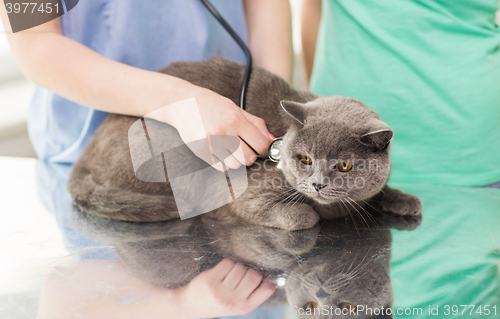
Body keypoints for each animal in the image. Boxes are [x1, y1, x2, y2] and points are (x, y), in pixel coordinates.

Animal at [67, 55, 422, 230]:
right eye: (305, 159)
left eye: (344, 165)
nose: (318, 184)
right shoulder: (246, 196)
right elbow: (301, 216)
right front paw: (313, 214)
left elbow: (376, 193)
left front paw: (404, 200)